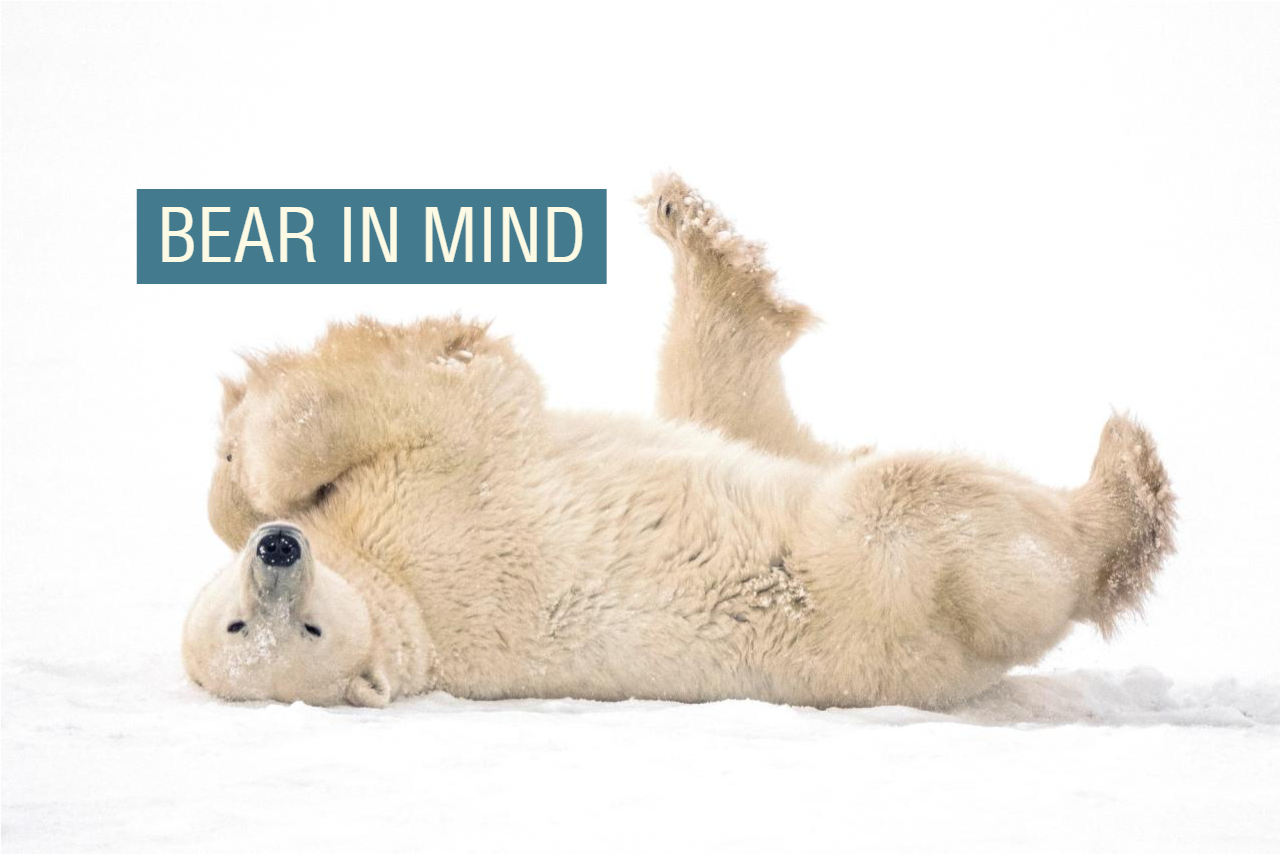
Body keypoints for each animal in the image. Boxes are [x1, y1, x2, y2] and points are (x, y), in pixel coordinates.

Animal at [183, 174, 1176, 708]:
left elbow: (255, 482)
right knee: (922, 501)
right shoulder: (441, 499)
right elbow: (467, 395)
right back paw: (1126, 485)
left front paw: (235, 454)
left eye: (276, 615)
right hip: (880, 578)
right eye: (250, 627)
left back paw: (689, 229)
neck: (407, 604)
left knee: (727, 403)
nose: (280, 553)